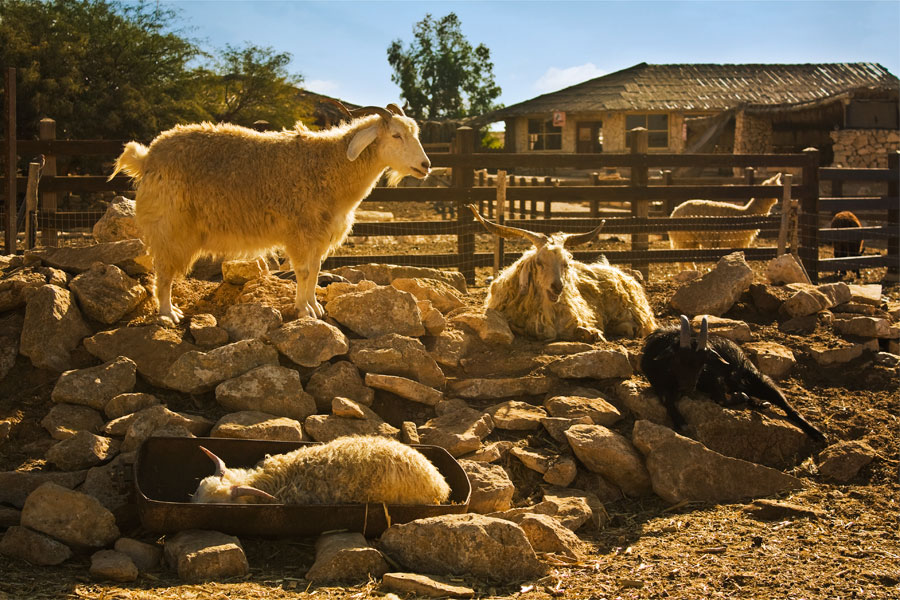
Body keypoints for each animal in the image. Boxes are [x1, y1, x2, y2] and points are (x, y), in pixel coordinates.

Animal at [109, 101, 432, 324]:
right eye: (396, 135)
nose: (426, 165)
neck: (329, 166)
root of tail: (147, 157)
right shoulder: (300, 231)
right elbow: (304, 271)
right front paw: (304, 310)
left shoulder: (319, 235)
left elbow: (315, 270)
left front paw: (315, 307)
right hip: (170, 226)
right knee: (163, 271)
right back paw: (168, 314)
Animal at [640, 316, 828, 442]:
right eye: (678, 359)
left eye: (703, 362)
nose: (688, 388)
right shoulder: (659, 383)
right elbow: (667, 400)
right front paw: (681, 423)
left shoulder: (714, 378)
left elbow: (721, 399)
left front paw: (740, 397)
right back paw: (759, 403)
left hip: (755, 377)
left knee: (785, 404)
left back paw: (818, 433)